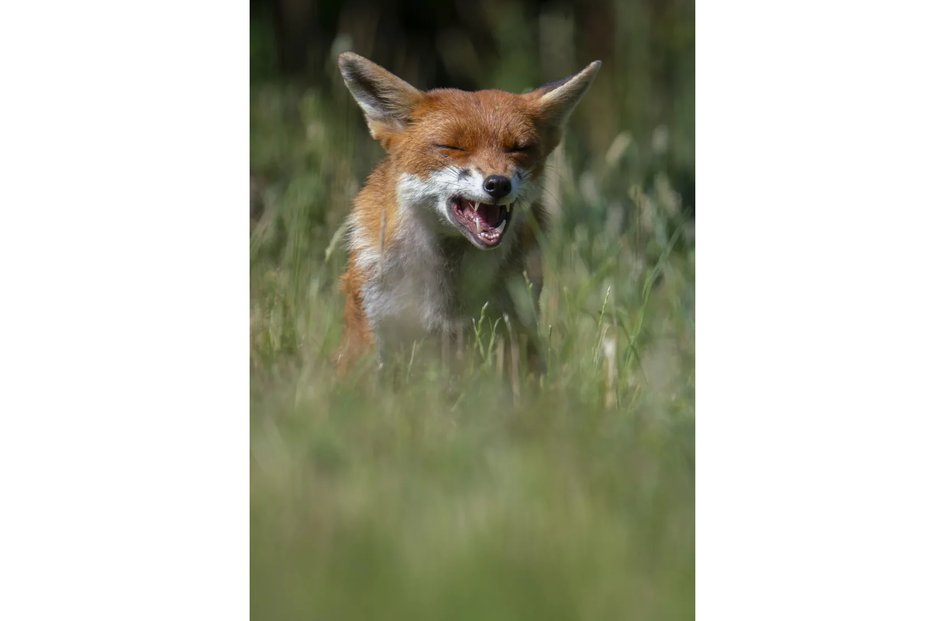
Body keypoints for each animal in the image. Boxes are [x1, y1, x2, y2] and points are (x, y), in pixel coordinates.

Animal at [333, 52, 600, 379]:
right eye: (453, 146)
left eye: (519, 148)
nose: (498, 184)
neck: (449, 290)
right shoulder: (377, 326)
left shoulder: (512, 324)